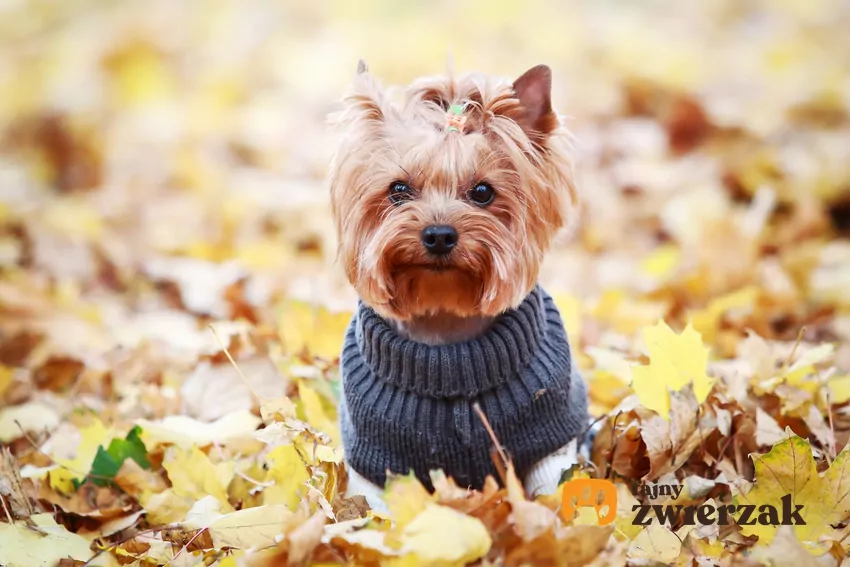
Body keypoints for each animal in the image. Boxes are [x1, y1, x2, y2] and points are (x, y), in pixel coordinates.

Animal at [328, 61, 588, 510]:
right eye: (398, 190)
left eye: (483, 191)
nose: (438, 234)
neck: (445, 326)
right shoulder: (375, 460)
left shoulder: (550, 442)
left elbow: (551, 492)